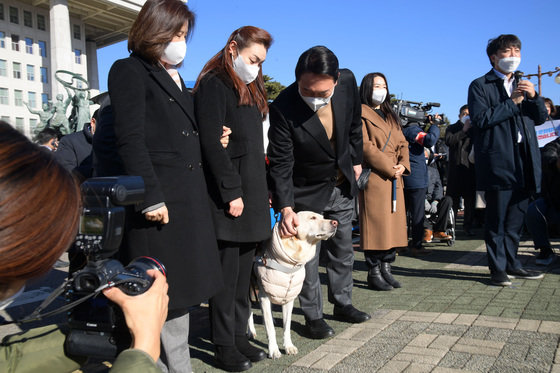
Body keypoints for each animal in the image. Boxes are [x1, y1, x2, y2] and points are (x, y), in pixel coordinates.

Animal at [253, 209, 340, 358]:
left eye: (323, 216)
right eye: (313, 218)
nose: (335, 222)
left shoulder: (289, 298)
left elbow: (286, 325)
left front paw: (288, 346)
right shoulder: (263, 296)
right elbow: (270, 328)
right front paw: (273, 350)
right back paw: (250, 332)